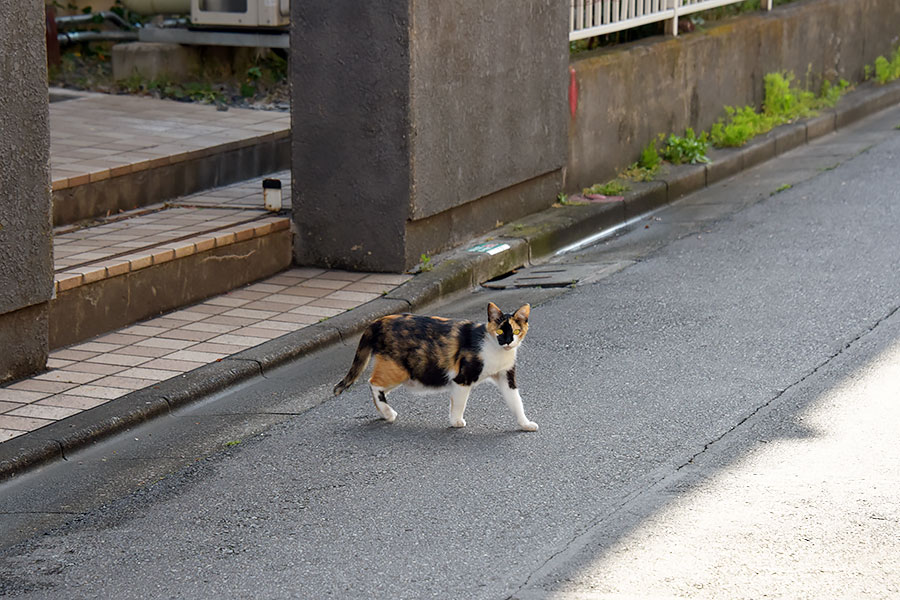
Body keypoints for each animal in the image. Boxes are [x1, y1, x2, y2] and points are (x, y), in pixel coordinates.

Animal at [334, 302, 536, 428]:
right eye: (500, 331)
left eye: (516, 331)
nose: (508, 342)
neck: (496, 351)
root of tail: (378, 321)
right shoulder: (462, 378)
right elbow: (459, 403)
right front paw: (456, 421)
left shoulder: (506, 377)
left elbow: (516, 401)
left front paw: (525, 424)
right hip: (397, 369)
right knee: (373, 383)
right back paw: (388, 412)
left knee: (379, 389)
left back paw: (385, 413)